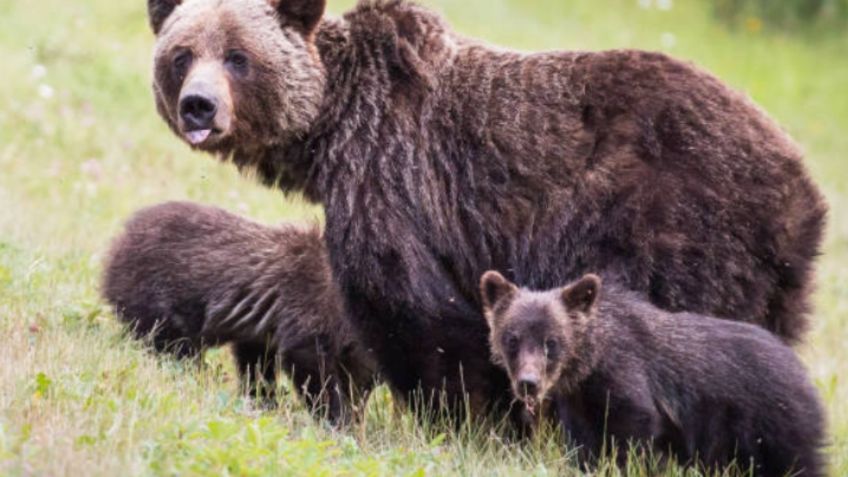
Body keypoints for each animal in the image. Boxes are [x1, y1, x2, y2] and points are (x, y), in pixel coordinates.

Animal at [147, 0, 828, 414]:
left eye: (238, 56)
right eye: (182, 54)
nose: (199, 106)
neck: (330, 130)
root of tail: (805, 191)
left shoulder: (394, 178)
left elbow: (416, 314)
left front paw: (462, 415)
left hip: (675, 228)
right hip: (767, 281)